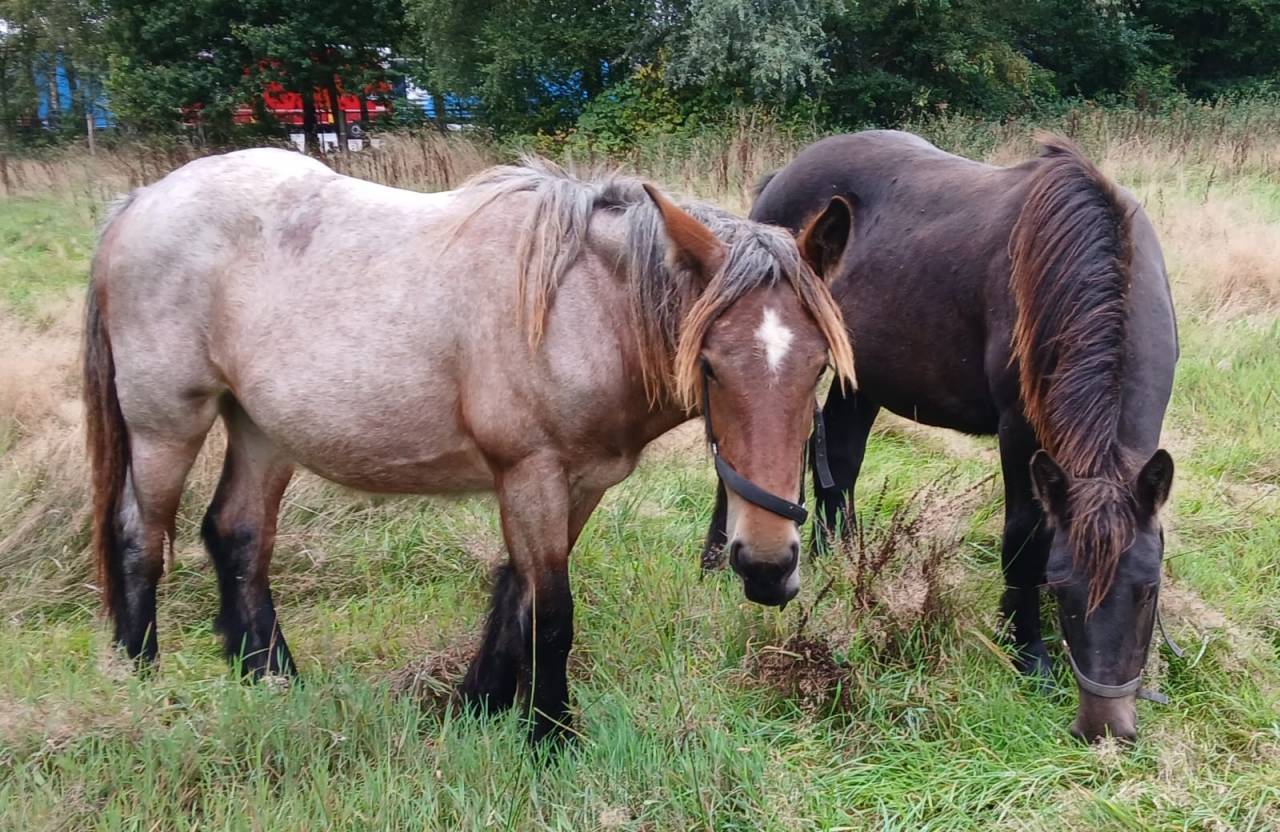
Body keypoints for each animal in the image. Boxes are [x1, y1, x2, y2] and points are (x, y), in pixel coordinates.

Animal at [83, 149, 855, 742]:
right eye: (711, 365)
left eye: (818, 367)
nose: (766, 566)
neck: (582, 308)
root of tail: (141, 201)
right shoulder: (532, 473)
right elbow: (552, 613)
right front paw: (549, 737)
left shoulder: (578, 484)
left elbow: (517, 594)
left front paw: (478, 705)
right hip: (166, 425)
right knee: (140, 534)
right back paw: (142, 675)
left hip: (261, 430)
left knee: (237, 536)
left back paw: (270, 677)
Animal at [702, 132, 1178, 743]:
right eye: (1064, 587)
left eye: (1148, 589)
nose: (1104, 729)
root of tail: (779, 180)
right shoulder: (1018, 432)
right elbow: (1023, 539)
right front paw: (1028, 652)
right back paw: (718, 559)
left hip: (862, 380)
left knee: (839, 459)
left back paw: (842, 556)